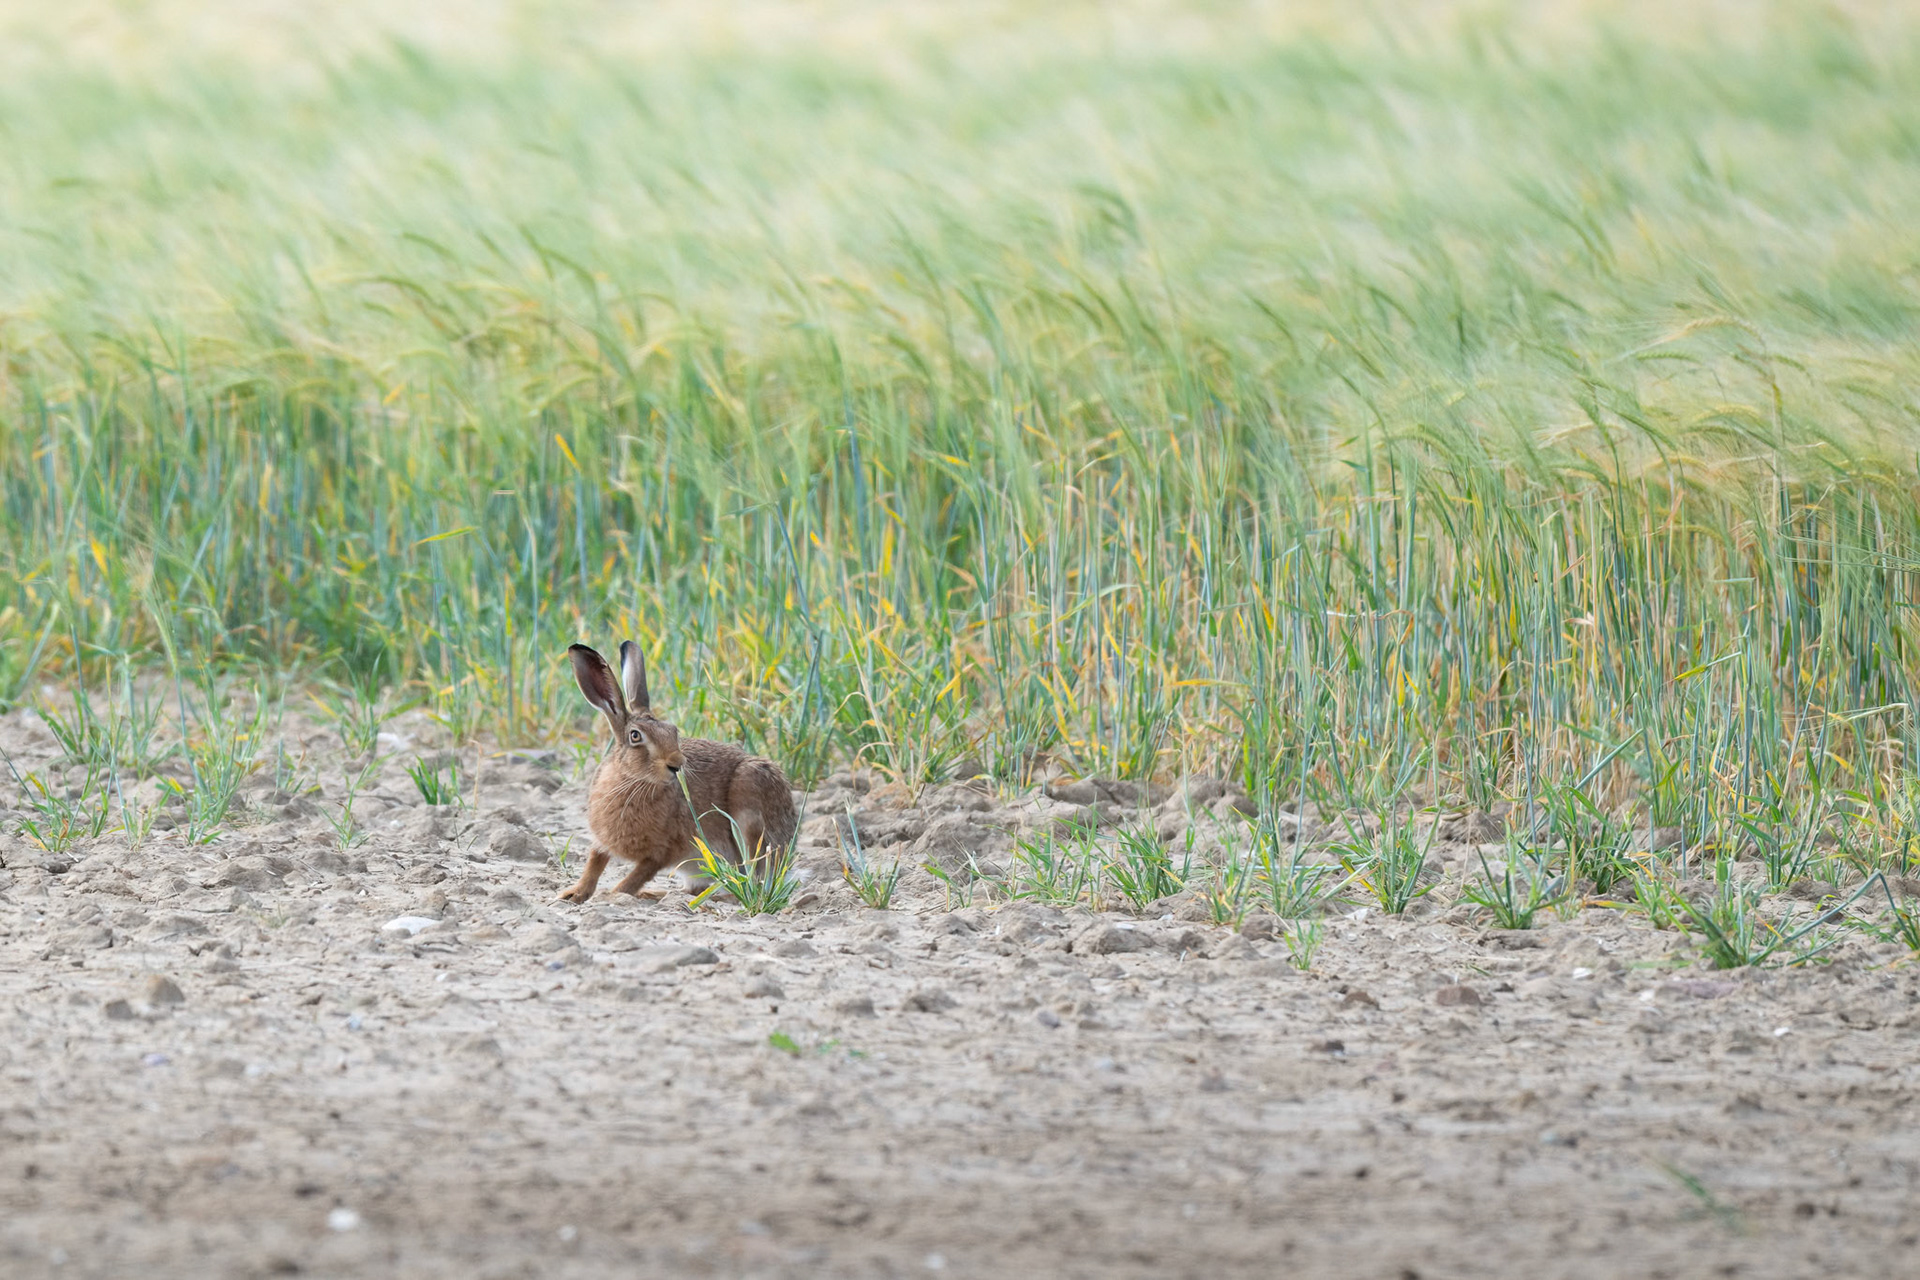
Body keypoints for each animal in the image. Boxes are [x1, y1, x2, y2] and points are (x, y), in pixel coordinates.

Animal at [558, 639, 797, 902]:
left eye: (674, 732)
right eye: (635, 736)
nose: (676, 763)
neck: (631, 781)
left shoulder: (662, 851)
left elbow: (637, 876)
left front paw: (614, 894)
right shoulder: (601, 841)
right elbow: (594, 864)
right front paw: (573, 894)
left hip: (750, 801)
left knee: (751, 882)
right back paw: (657, 894)